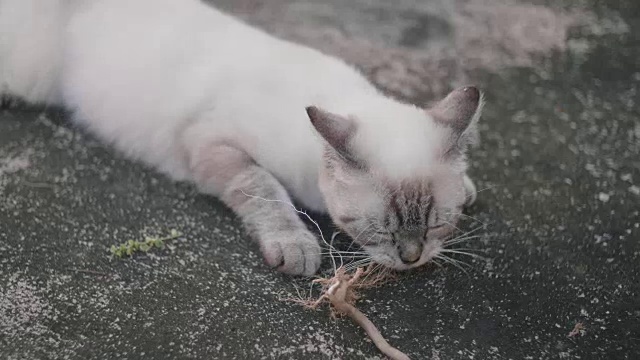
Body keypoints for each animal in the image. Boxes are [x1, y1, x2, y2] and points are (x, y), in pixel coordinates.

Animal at [0, 0, 480, 276]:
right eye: (380, 227)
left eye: (438, 222)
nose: (412, 258)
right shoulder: (215, 144)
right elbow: (265, 190)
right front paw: (296, 247)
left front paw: (470, 187)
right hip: (29, 78)